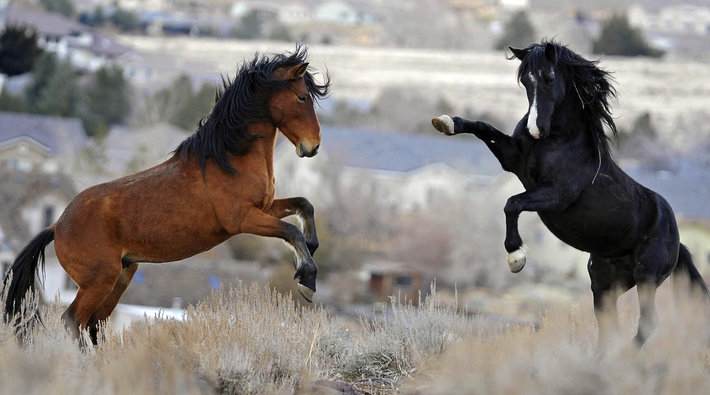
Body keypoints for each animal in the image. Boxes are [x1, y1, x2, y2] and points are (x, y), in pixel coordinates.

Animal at [2, 45, 330, 344]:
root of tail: (56, 226)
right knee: (73, 320)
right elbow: (290, 231)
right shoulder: (243, 219)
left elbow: (304, 205)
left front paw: (312, 249)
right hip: (99, 280)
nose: (312, 146)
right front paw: (307, 280)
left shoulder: (265, 207)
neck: (228, 158)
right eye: (301, 97)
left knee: (94, 324)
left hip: (121, 277)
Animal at [434, 40, 710, 346]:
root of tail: (677, 239)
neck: (557, 141)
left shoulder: (555, 196)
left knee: (648, 323)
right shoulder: (511, 159)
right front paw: (446, 122)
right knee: (609, 326)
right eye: (524, 80)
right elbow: (484, 127)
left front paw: (516, 257)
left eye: (549, 78)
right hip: (606, 284)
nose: (536, 129)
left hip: (647, 276)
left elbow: (511, 203)